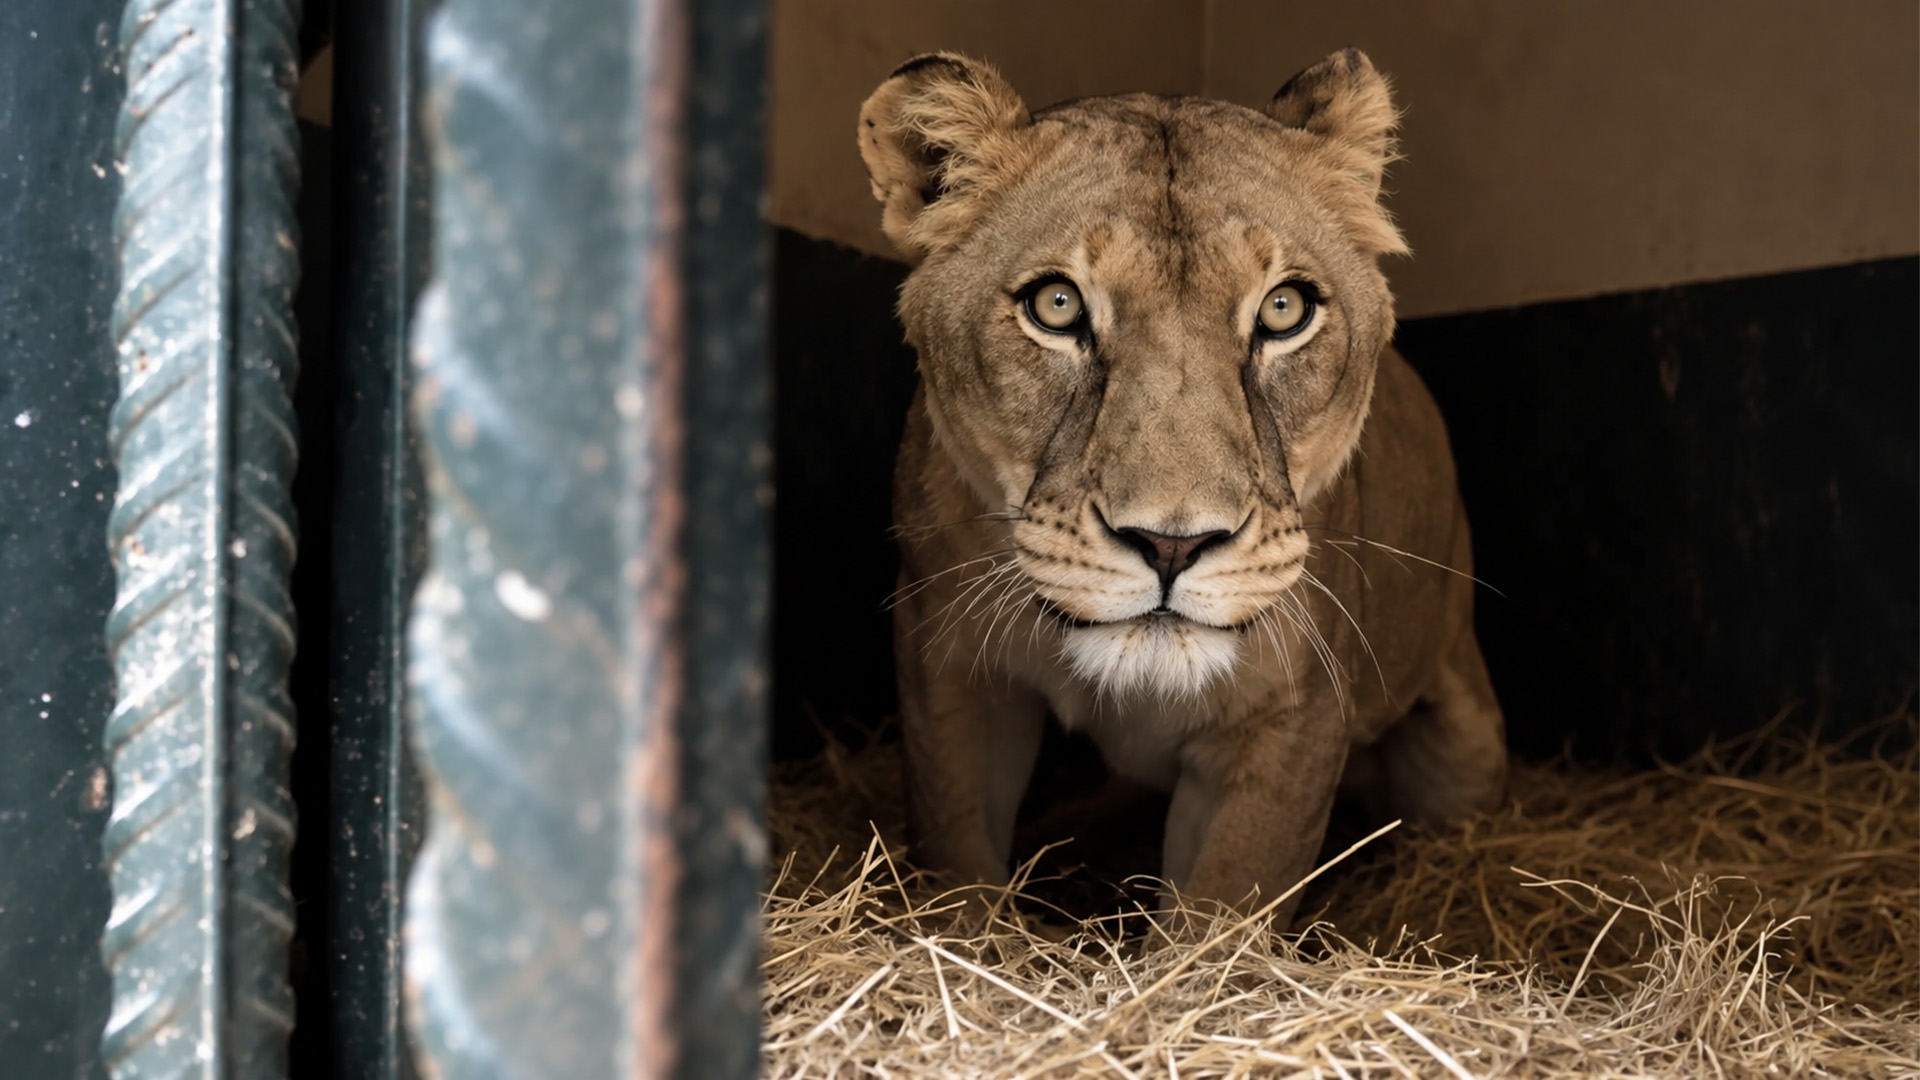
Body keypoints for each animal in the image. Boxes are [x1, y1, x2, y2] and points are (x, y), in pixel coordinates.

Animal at [858, 48, 1507, 924]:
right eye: (1056, 305)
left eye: (1284, 308)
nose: (1173, 545)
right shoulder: (949, 672)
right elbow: (958, 863)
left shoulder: (1290, 715)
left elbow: (1223, 911)